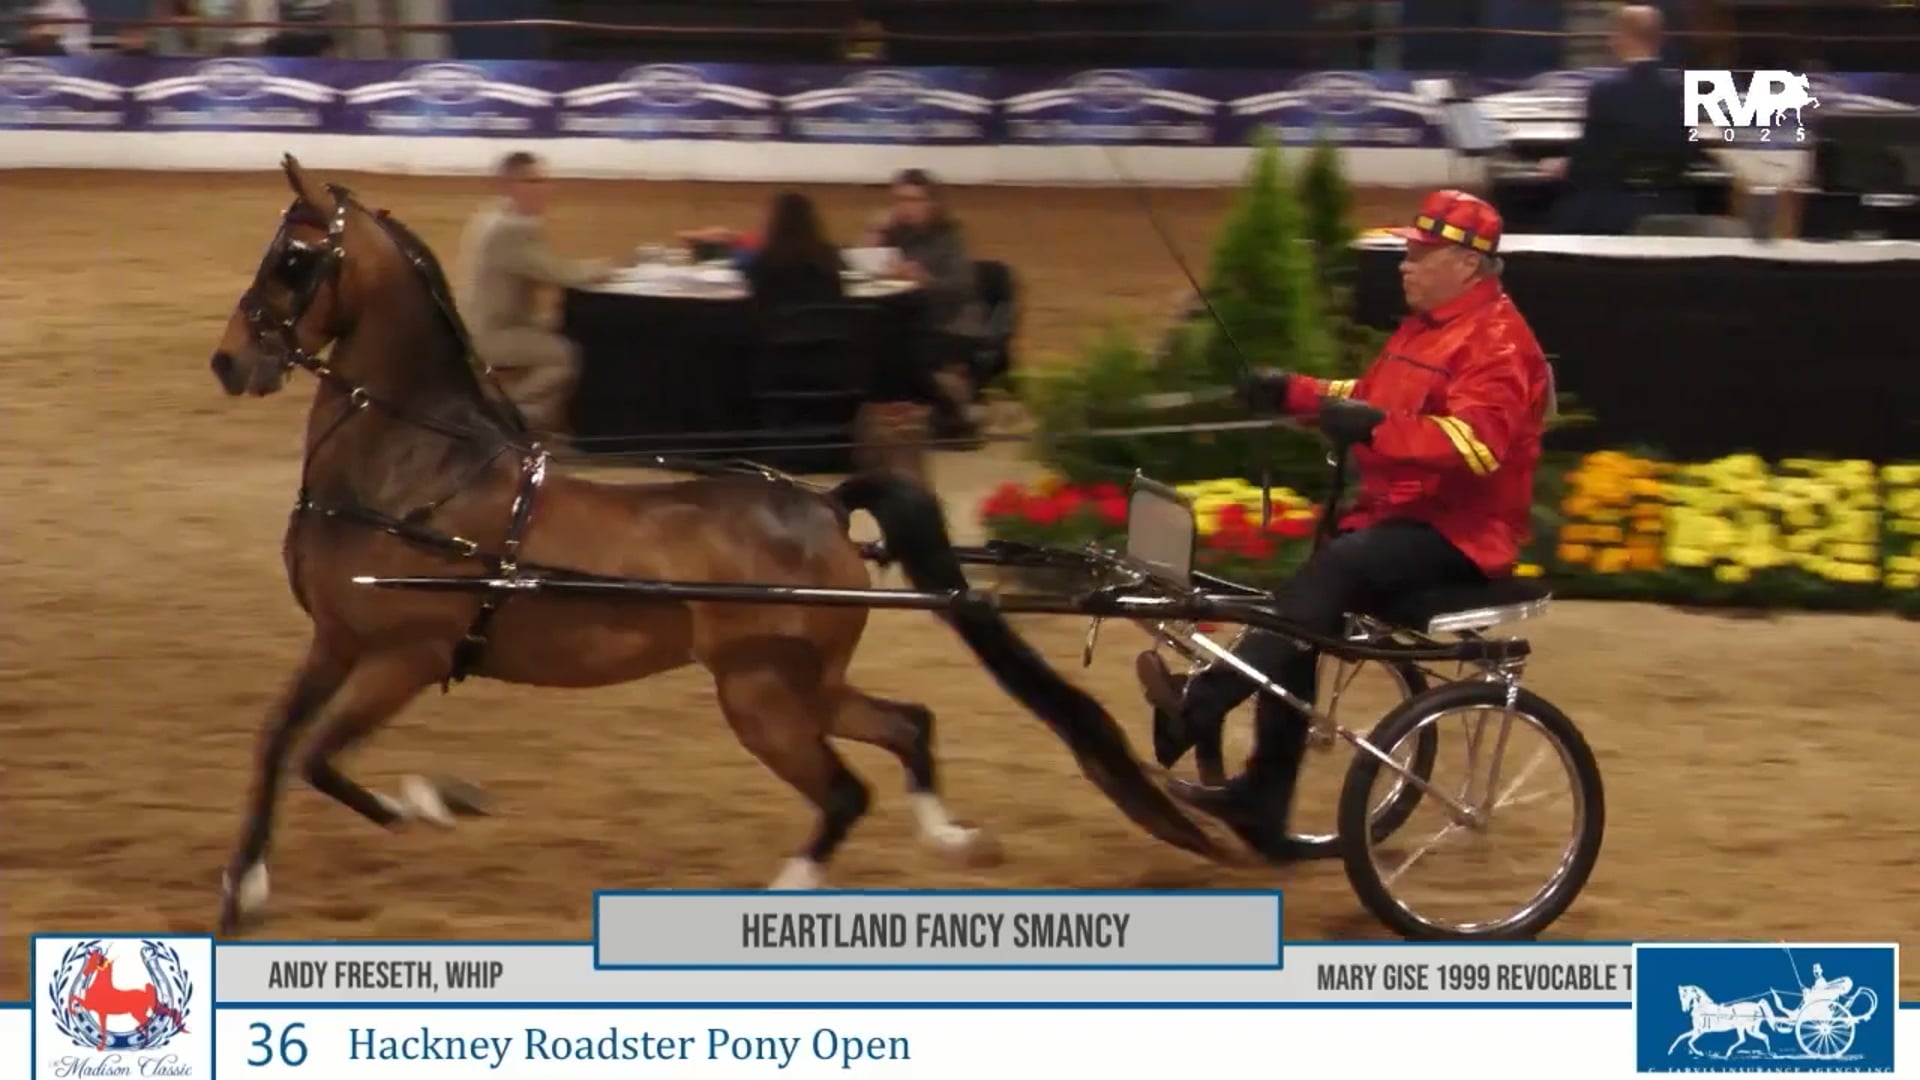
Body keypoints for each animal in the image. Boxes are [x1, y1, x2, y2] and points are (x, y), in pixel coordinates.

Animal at [203, 154, 1224, 934]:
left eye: (295, 257)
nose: (229, 361)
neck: (419, 470)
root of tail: (822, 509)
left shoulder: (404, 656)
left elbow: (321, 758)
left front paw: (430, 806)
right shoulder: (337, 642)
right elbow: (275, 742)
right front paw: (243, 887)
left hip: (759, 696)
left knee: (844, 790)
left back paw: (788, 893)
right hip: (797, 686)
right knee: (906, 728)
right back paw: (952, 837)